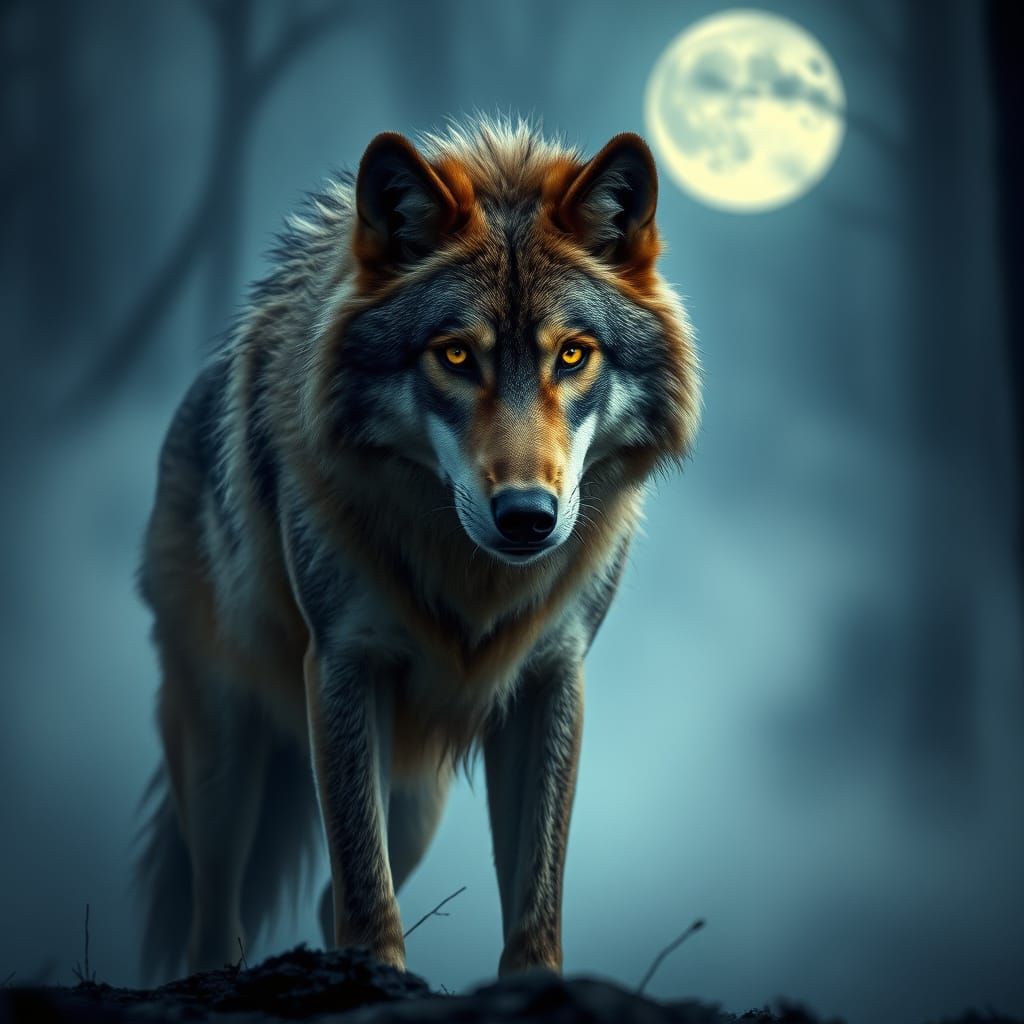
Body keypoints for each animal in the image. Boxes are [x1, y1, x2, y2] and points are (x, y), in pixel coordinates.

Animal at [136, 117, 700, 981]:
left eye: (572, 355)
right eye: (456, 355)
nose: (528, 517)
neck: (473, 582)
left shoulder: (553, 677)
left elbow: (536, 882)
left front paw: (533, 982)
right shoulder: (341, 662)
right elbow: (361, 875)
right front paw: (377, 969)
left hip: (416, 799)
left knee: (324, 898)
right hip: (226, 751)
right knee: (216, 917)